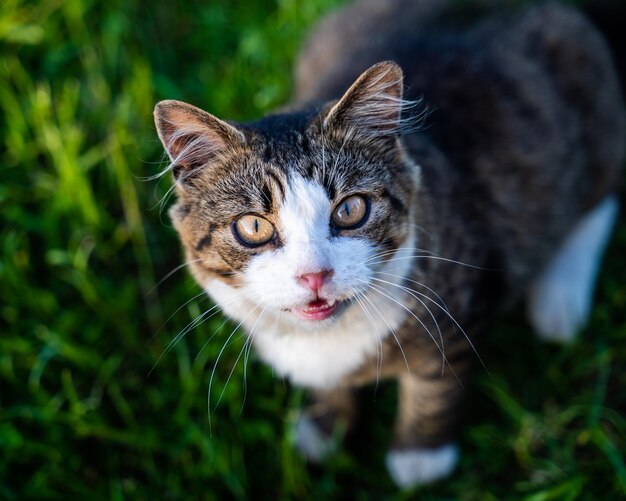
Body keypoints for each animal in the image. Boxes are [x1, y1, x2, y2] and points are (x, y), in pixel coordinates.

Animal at [154, 0, 620, 486]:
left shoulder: (458, 306)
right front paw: (325, 427)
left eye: (351, 210)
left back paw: (560, 300)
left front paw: (420, 458)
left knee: (600, 195)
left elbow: (436, 383)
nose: (314, 275)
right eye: (253, 228)